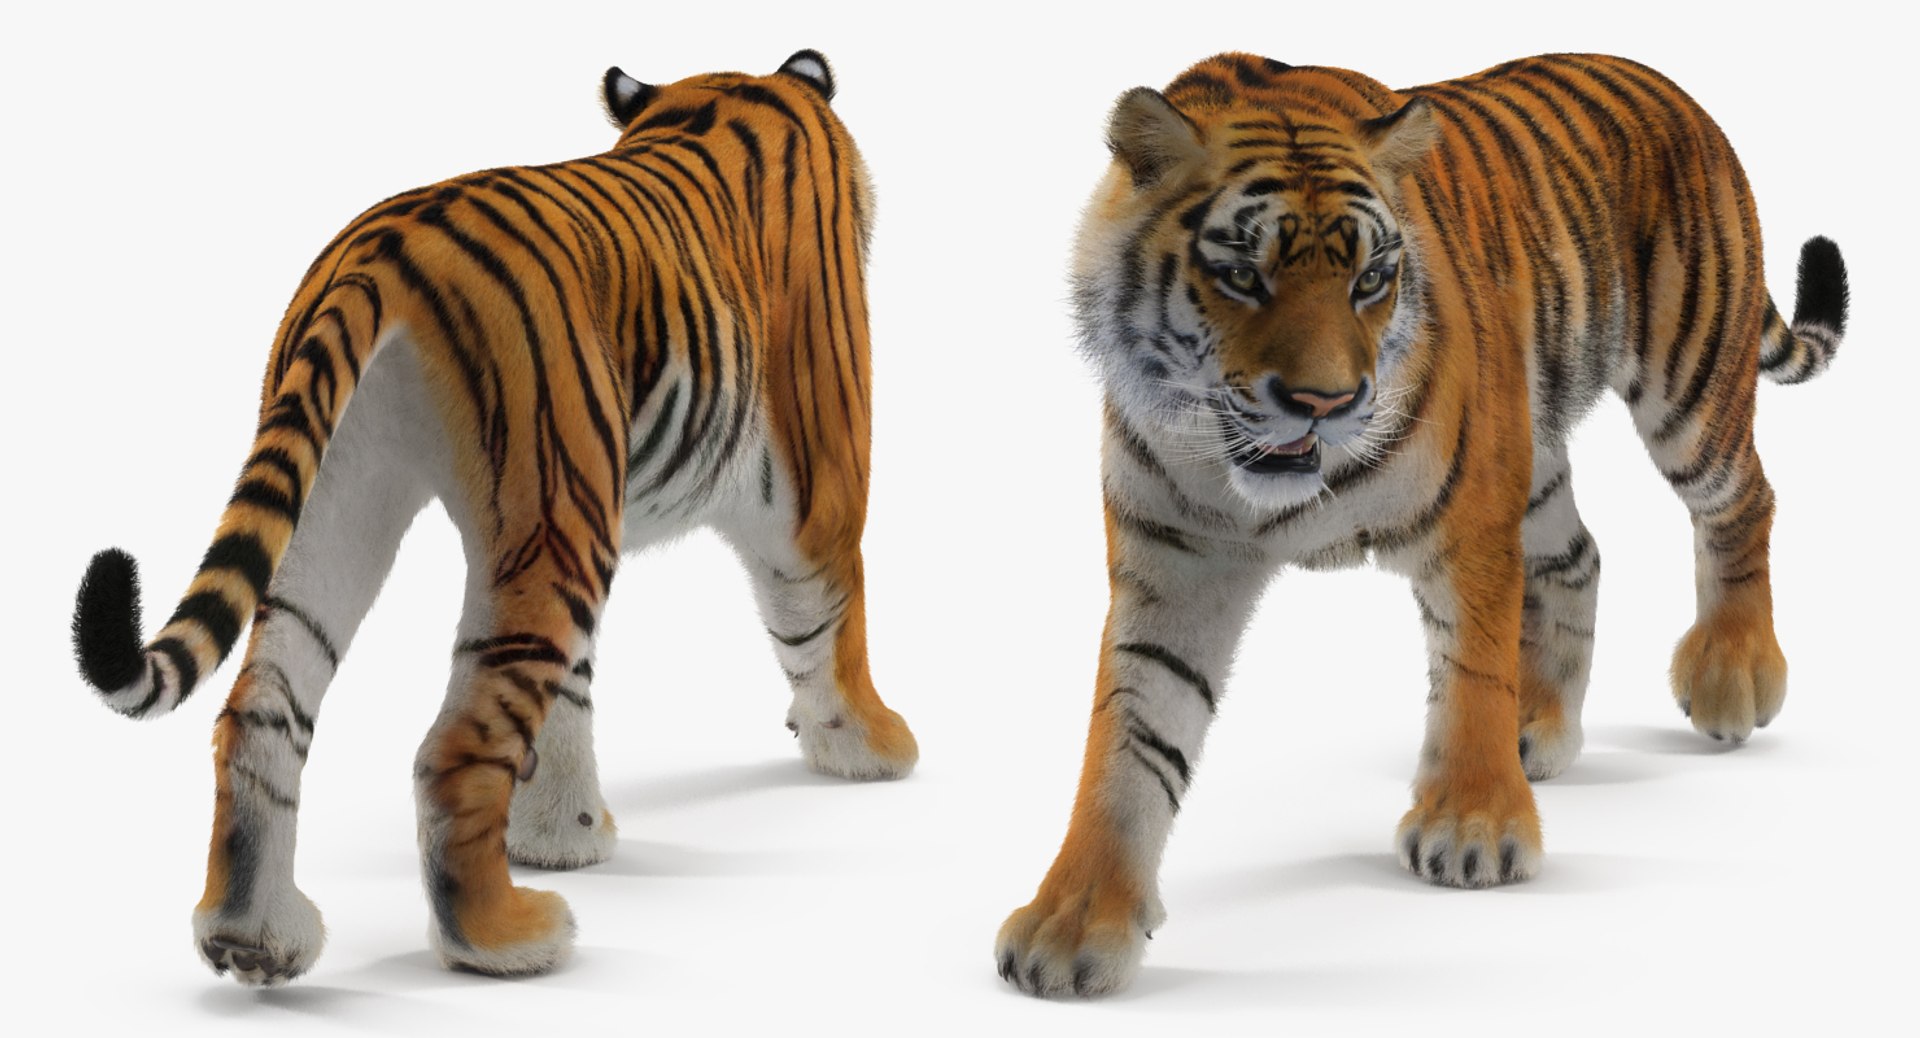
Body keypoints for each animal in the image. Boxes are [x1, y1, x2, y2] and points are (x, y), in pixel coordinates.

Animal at [68, 49, 918, 985]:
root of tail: (384, 252)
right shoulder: (820, 483)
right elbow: (826, 622)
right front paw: (870, 747)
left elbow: (571, 691)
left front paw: (562, 836)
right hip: (546, 518)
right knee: (450, 752)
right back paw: (506, 938)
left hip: (337, 496)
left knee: (261, 711)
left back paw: (254, 937)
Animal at [994, 52, 1848, 997]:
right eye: (1243, 276)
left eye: (1369, 280)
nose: (1326, 403)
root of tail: (1675, 90)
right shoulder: (1174, 568)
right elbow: (1131, 740)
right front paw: (1075, 925)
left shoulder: (1468, 521)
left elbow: (1471, 671)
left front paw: (1473, 829)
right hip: (1533, 446)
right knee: (1579, 555)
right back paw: (1538, 726)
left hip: (1685, 384)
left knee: (1743, 501)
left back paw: (1732, 675)